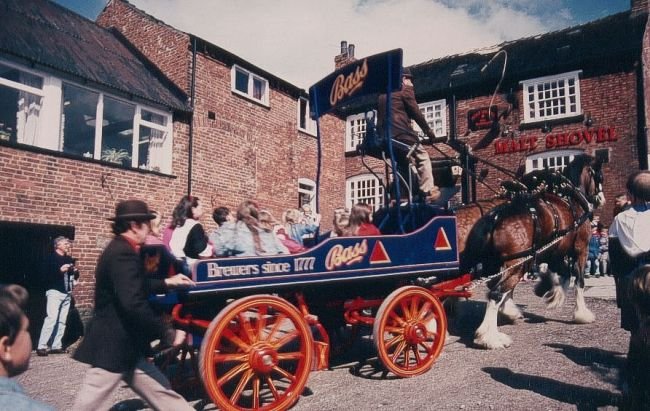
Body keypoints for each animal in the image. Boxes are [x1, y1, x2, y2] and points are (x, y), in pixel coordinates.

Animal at [466, 156, 604, 350]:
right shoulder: (581, 249)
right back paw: (490, 338)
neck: (573, 199)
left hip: (501, 263)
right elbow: (578, 280)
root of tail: (496, 217)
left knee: (496, 288)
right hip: (518, 263)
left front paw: (550, 293)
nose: (601, 199)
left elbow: (562, 274)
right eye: (599, 175)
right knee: (496, 293)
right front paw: (582, 314)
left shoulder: (554, 252)